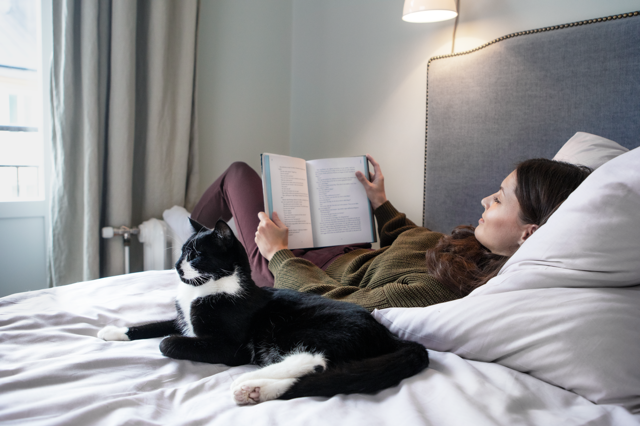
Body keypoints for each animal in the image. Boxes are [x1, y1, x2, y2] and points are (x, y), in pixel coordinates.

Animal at [99, 218, 430, 404]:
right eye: (181, 251)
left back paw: (250, 383)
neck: (205, 289)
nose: (177, 266)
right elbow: (154, 324)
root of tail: (390, 336)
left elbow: (166, 342)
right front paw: (112, 330)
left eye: (194, 254)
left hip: (298, 329)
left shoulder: (228, 346)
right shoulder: (182, 321)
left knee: (313, 360)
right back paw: (257, 391)